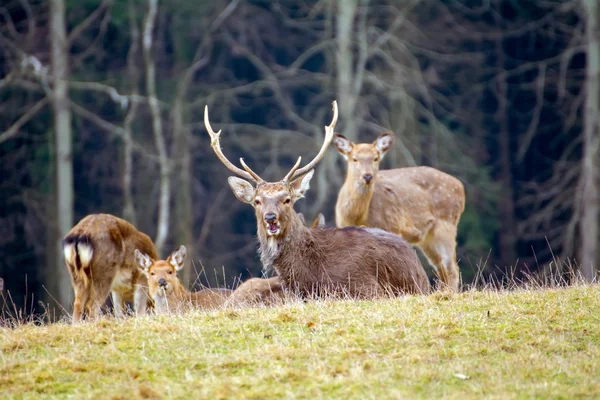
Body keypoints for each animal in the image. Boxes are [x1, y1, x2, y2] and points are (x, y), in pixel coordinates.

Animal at [332, 131, 464, 290]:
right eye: (354, 159)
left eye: (376, 158)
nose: (368, 176)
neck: (357, 217)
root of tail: (460, 186)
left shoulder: (392, 226)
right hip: (428, 238)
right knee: (441, 268)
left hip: (446, 224)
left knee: (451, 268)